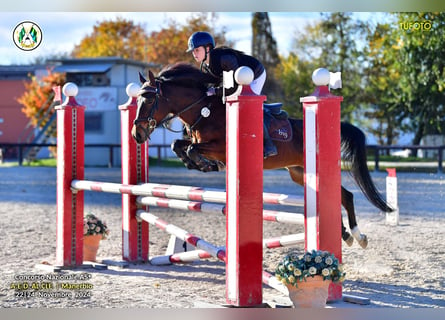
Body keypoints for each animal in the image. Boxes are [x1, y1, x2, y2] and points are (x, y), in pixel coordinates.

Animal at [132, 62, 392, 248]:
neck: (204, 110)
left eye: (150, 99)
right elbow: (177, 144)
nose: (137, 134)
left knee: (344, 196)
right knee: (341, 196)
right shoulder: (198, 141)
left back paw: (357, 235)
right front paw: (200, 164)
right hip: (300, 173)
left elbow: (191, 148)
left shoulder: (220, 146)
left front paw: (205, 164)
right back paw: (346, 234)